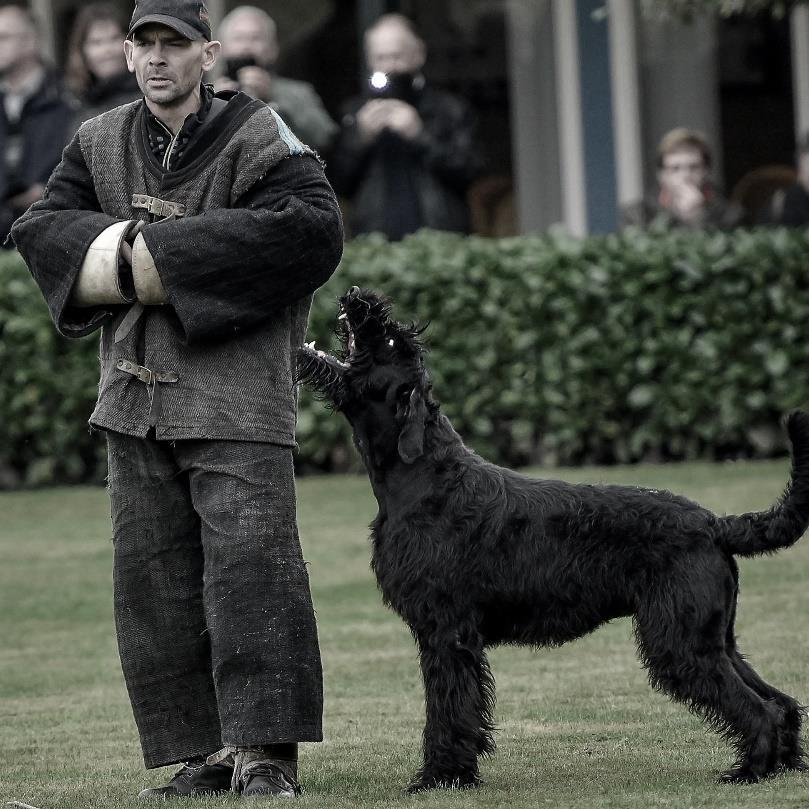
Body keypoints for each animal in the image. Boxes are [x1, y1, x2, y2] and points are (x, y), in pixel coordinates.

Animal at [296, 286, 808, 788]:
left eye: (388, 342)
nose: (357, 296)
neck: (423, 474)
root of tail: (713, 523)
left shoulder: (446, 632)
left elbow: (449, 707)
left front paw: (441, 776)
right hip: (715, 637)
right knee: (780, 702)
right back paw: (782, 766)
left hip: (683, 642)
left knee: (758, 707)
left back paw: (749, 771)